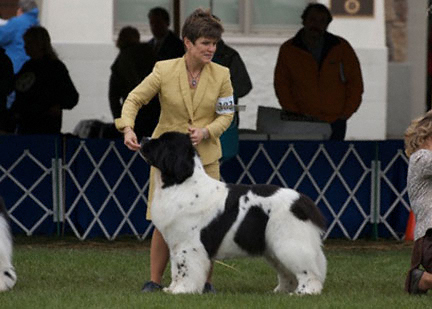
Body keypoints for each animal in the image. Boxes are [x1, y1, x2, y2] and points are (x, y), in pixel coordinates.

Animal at [140, 131, 326, 294]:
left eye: (162, 142)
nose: (142, 138)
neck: (179, 183)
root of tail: (303, 200)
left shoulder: (188, 244)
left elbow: (185, 268)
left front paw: (182, 290)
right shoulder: (176, 244)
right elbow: (176, 268)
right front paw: (171, 289)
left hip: (289, 242)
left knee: (308, 270)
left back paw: (304, 292)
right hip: (273, 246)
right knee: (287, 272)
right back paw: (280, 291)